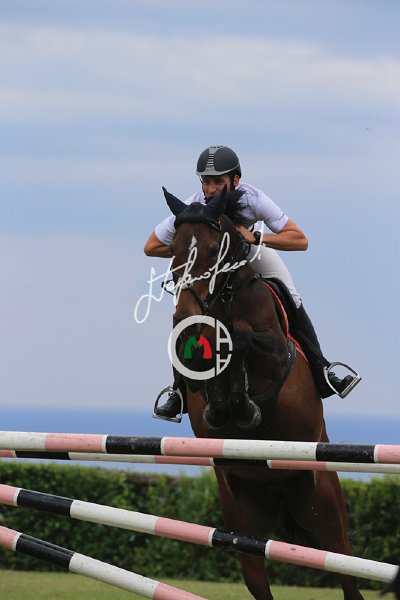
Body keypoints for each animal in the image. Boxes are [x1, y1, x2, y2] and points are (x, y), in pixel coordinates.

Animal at [163, 185, 364, 600]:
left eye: (215, 250)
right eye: (173, 249)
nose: (185, 317)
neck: (224, 300)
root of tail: (279, 486)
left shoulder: (274, 352)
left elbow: (242, 340)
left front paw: (241, 401)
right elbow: (209, 372)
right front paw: (225, 403)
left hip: (325, 508)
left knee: (344, 567)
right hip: (242, 519)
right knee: (256, 571)